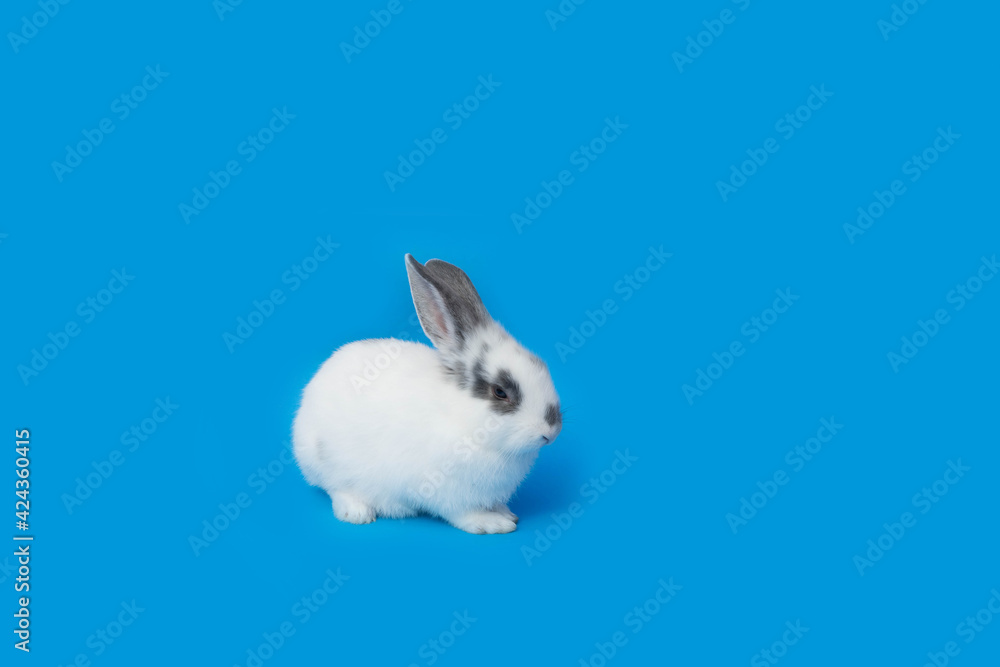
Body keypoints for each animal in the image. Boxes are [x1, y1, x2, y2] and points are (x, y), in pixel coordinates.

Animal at [292, 254, 563, 534]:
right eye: (500, 392)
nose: (551, 432)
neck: (462, 420)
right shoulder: (447, 493)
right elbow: (463, 514)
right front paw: (494, 523)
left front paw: (505, 512)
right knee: (335, 488)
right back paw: (356, 512)